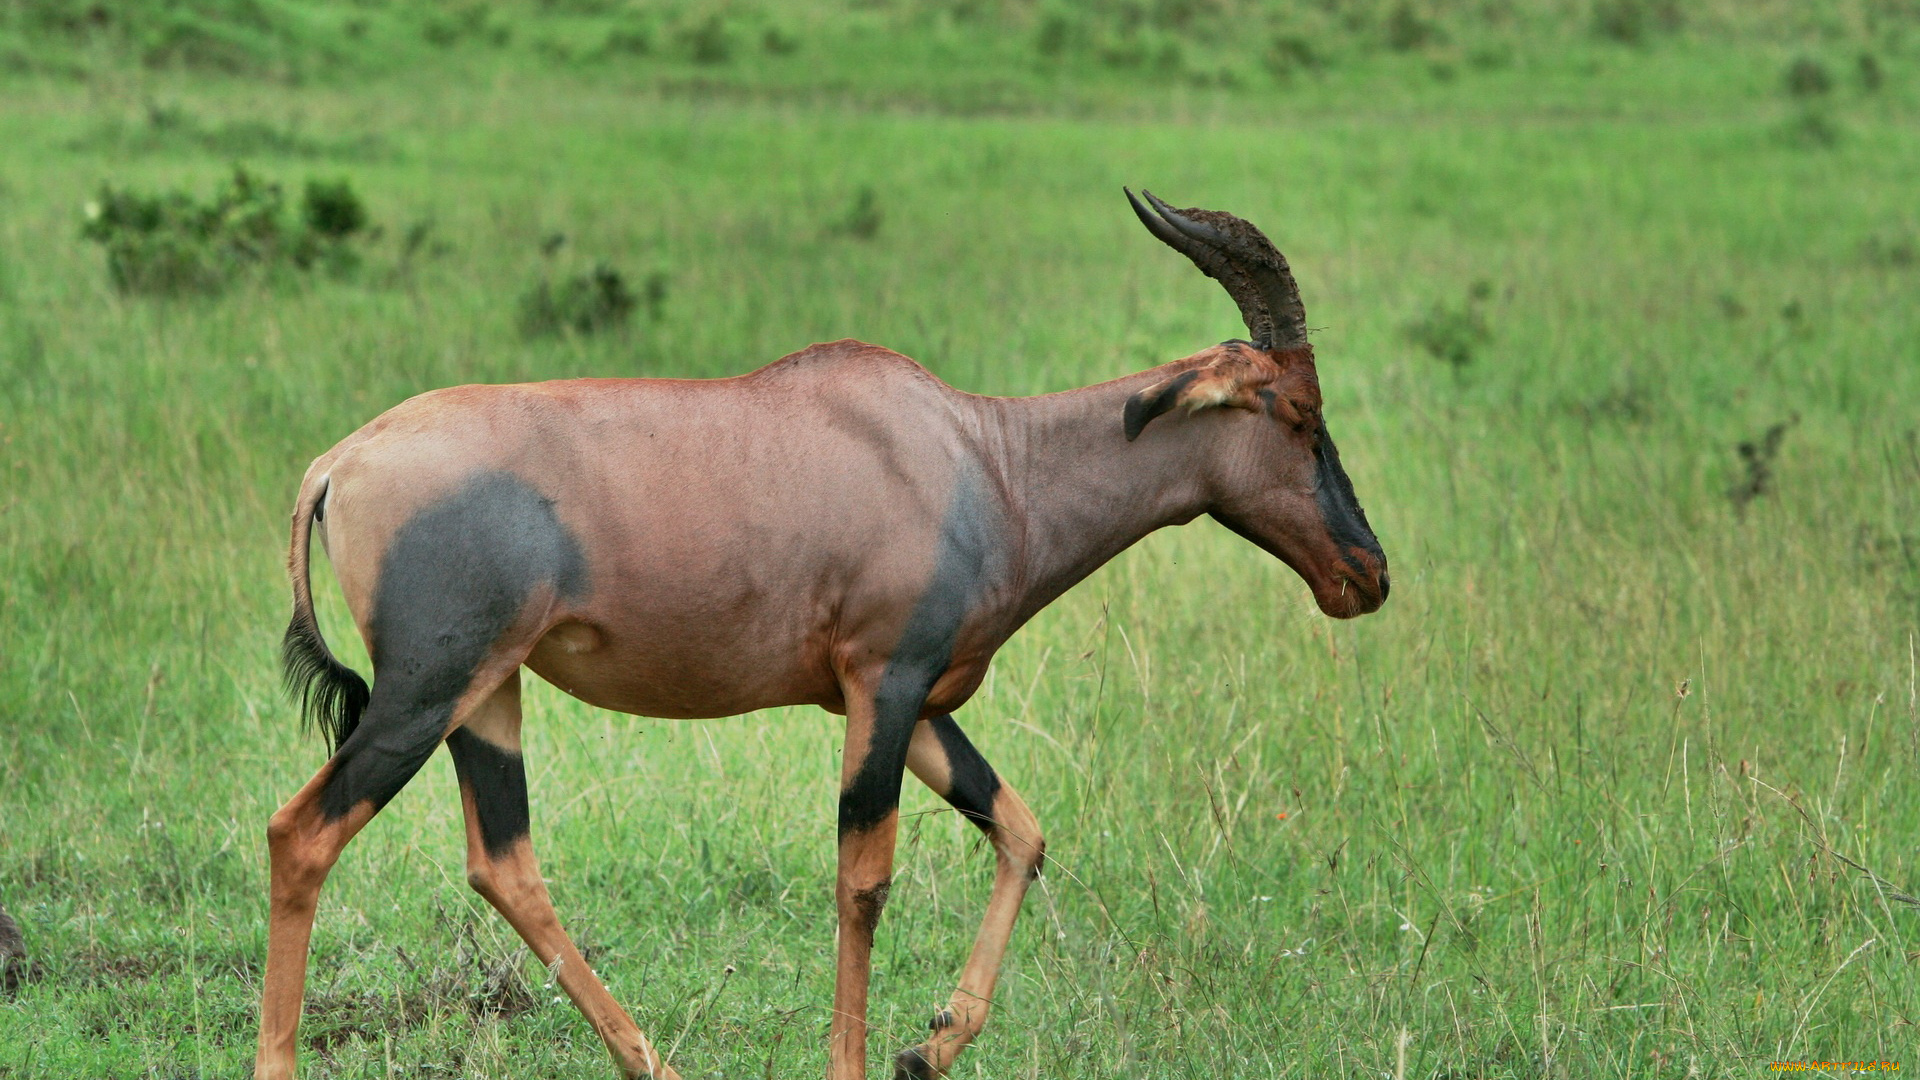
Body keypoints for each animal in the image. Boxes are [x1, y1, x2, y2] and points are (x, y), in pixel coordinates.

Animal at [255, 189, 1390, 1068]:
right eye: (1299, 411)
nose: (1367, 574)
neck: (977, 456)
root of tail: (339, 462)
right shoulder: (882, 684)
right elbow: (864, 882)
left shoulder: (916, 699)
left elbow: (1021, 832)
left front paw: (929, 1047)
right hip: (424, 690)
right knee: (302, 834)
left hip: (490, 692)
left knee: (505, 864)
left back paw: (654, 1063)